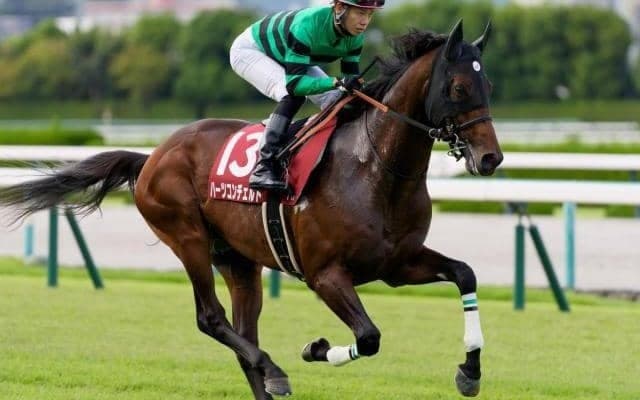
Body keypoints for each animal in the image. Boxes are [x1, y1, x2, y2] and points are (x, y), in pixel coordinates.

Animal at [0, 20, 502, 399]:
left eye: (489, 84)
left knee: (244, 334)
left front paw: (470, 371)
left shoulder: (396, 263)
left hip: (238, 260)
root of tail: (152, 157)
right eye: (459, 87)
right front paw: (314, 348)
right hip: (187, 237)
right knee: (212, 319)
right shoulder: (325, 274)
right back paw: (275, 369)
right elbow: (369, 337)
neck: (375, 168)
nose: (491, 158)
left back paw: (268, 374)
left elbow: (465, 274)